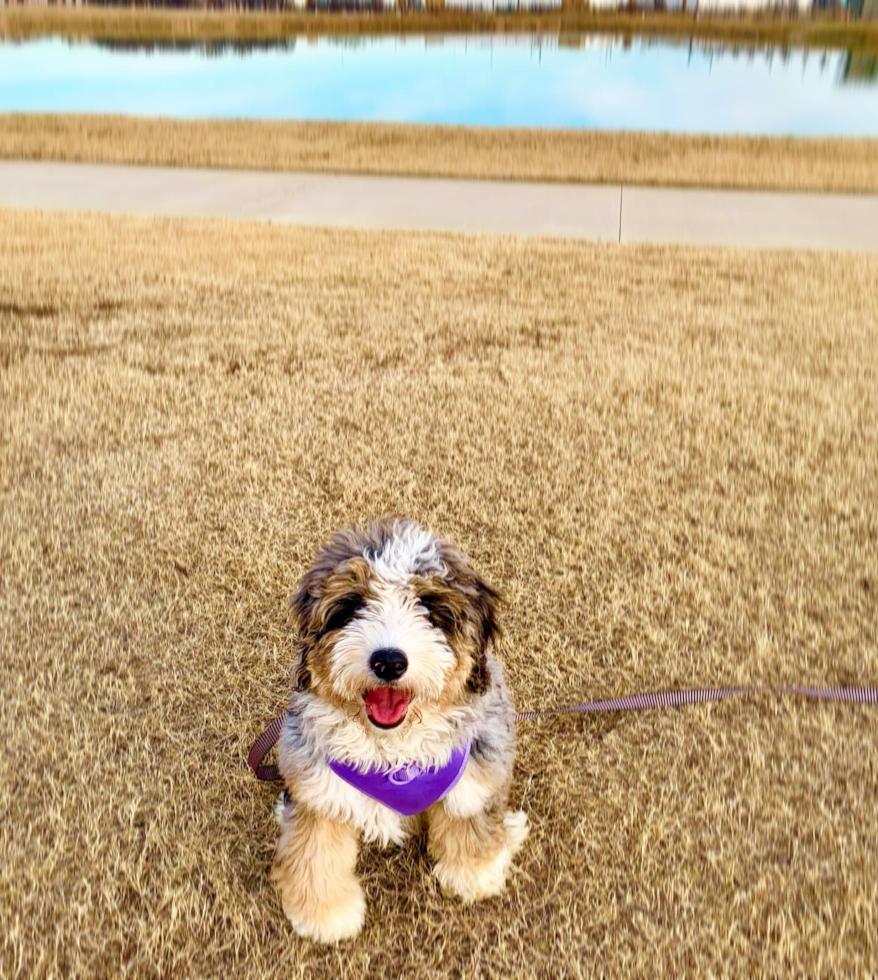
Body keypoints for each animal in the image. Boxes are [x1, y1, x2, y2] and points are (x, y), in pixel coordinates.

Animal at [272, 516, 528, 944]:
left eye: (429, 608)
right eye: (353, 606)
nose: (389, 661)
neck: (392, 751)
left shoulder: (476, 772)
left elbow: (469, 818)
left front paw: (475, 873)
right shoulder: (318, 789)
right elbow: (315, 852)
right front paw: (324, 914)